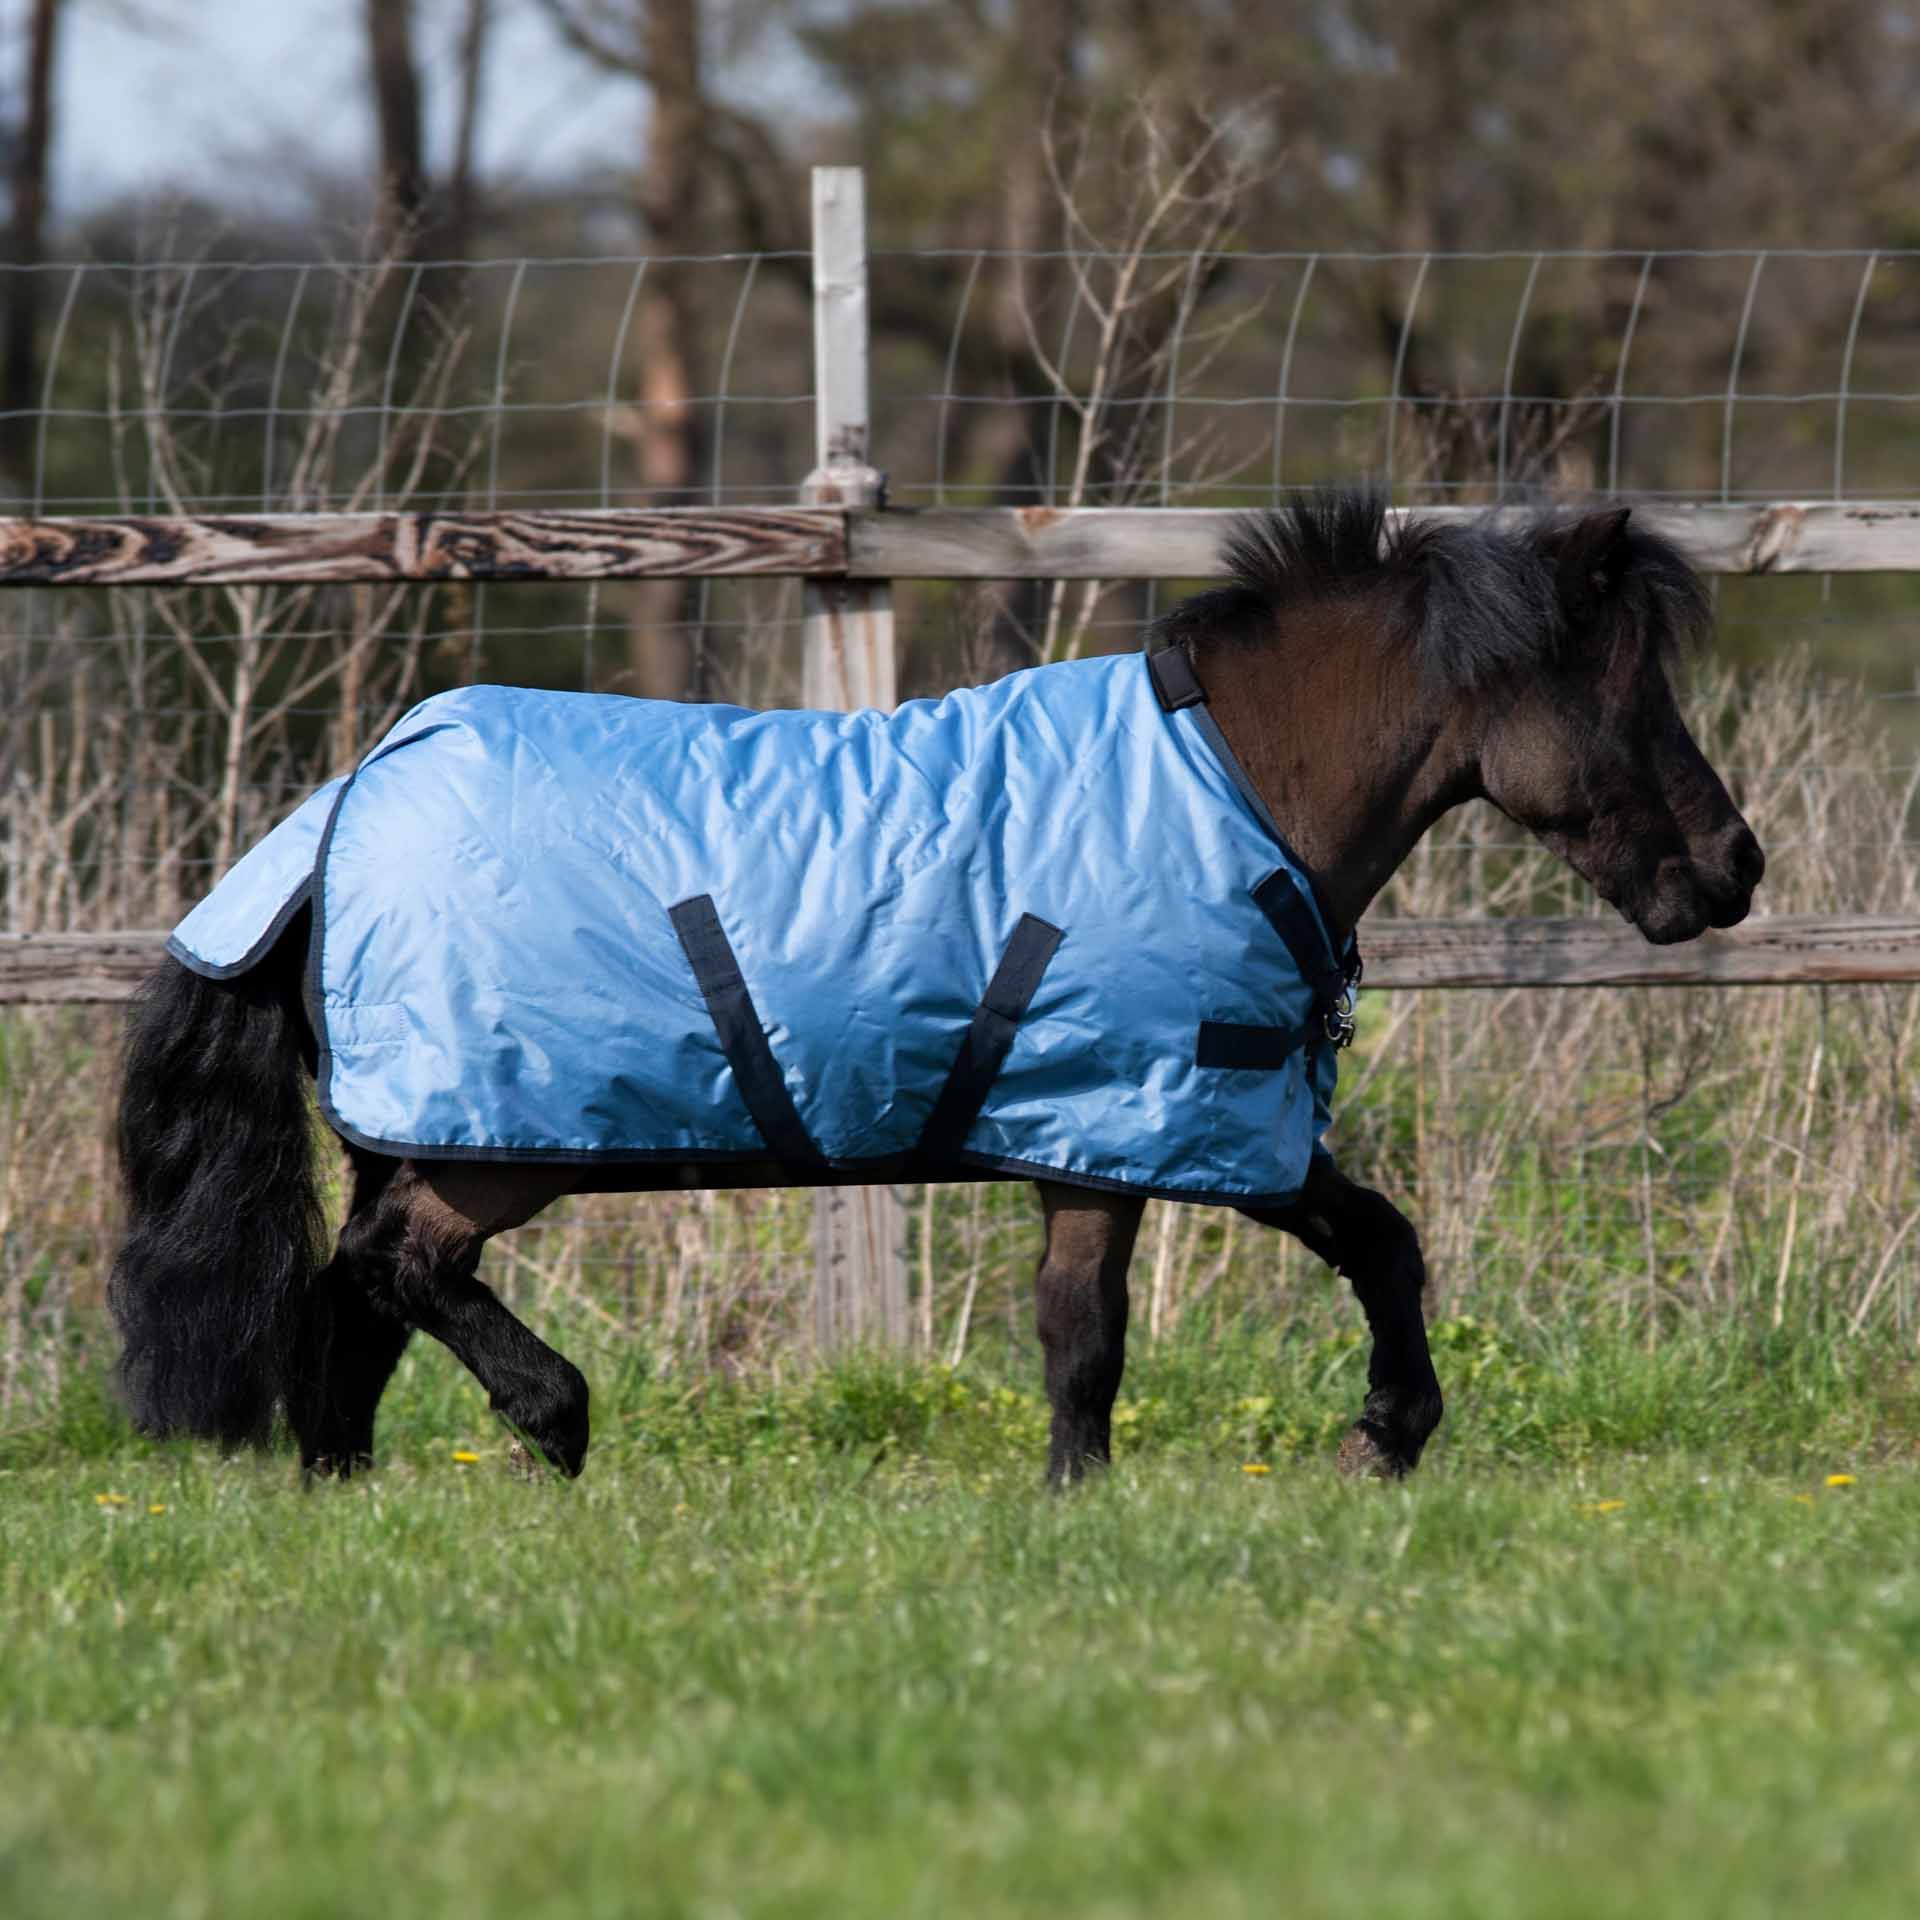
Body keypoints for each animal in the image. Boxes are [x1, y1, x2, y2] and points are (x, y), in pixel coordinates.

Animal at [106, 491, 1763, 1485]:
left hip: (418, 1133)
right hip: (491, 1141)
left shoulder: (1157, 1128)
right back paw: (555, 1422)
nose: (1732, 869)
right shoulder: (1161, 1116)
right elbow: (1154, 1319)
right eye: (1624, 695)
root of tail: (336, 815)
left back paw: (353, 1490)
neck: (1227, 788)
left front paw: (1299, 1457)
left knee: (353, 1301)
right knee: (399, 1267)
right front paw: (1346, 1444)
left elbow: (1244, 1291)